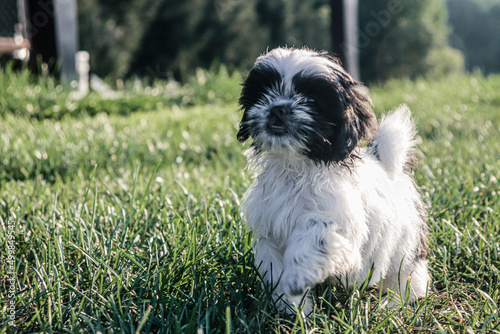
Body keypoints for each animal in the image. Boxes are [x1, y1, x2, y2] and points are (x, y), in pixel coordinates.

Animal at [237, 47, 430, 316]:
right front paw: (292, 308)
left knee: (409, 276)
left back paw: (393, 303)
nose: (278, 109)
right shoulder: (270, 231)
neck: (296, 166)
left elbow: (312, 233)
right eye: (265, 92)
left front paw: (296, 277)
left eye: (311, 101)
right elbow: (275, 267)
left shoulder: (339, 224)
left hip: (406, 245)